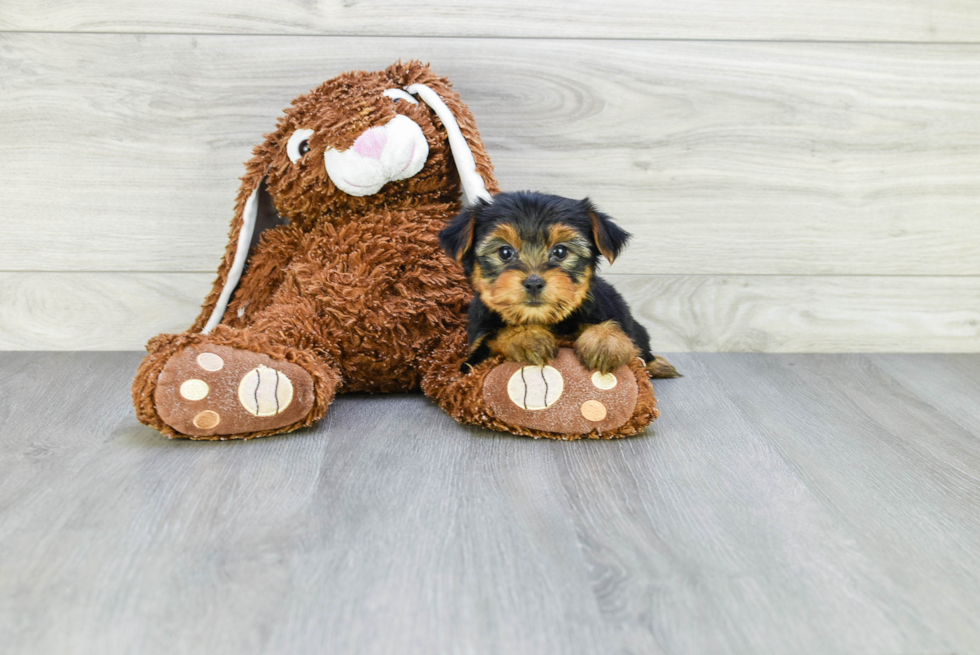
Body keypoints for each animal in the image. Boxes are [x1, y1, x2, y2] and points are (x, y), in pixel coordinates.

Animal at [440, 190, 676, 376]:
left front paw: (605, 342)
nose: (534, 282)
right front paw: (527, 337)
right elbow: (495, 338)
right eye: (504, 252)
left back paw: (658, 365)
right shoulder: (475, 352)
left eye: (560, 251)